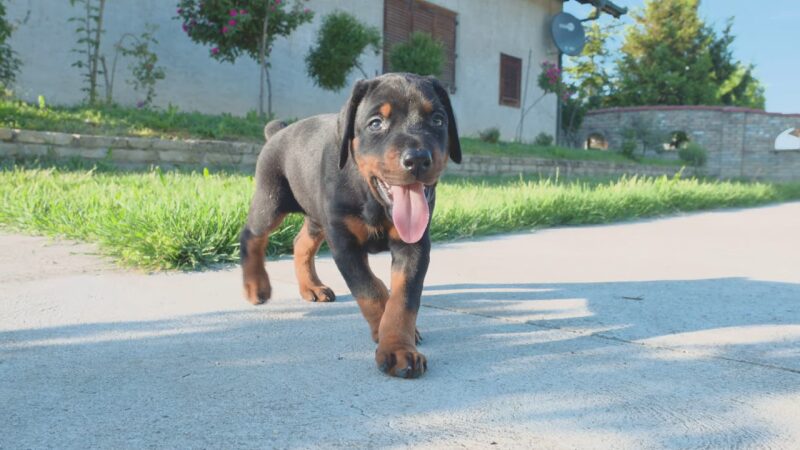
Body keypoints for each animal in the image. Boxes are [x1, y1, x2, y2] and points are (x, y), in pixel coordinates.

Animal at [241, 73, 460, 376]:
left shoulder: (414, 245)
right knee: (252, 235)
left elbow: (403, 298)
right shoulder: (344, 243)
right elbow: (369, 290)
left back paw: (311, 287)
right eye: (376, 123)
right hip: (271, 200)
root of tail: (277, 132)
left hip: (317, 216)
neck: (373, 198)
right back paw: (256, 286)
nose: (417, 159)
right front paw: (388, 341)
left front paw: (399, 346)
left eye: (438, 120)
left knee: (301, 244)